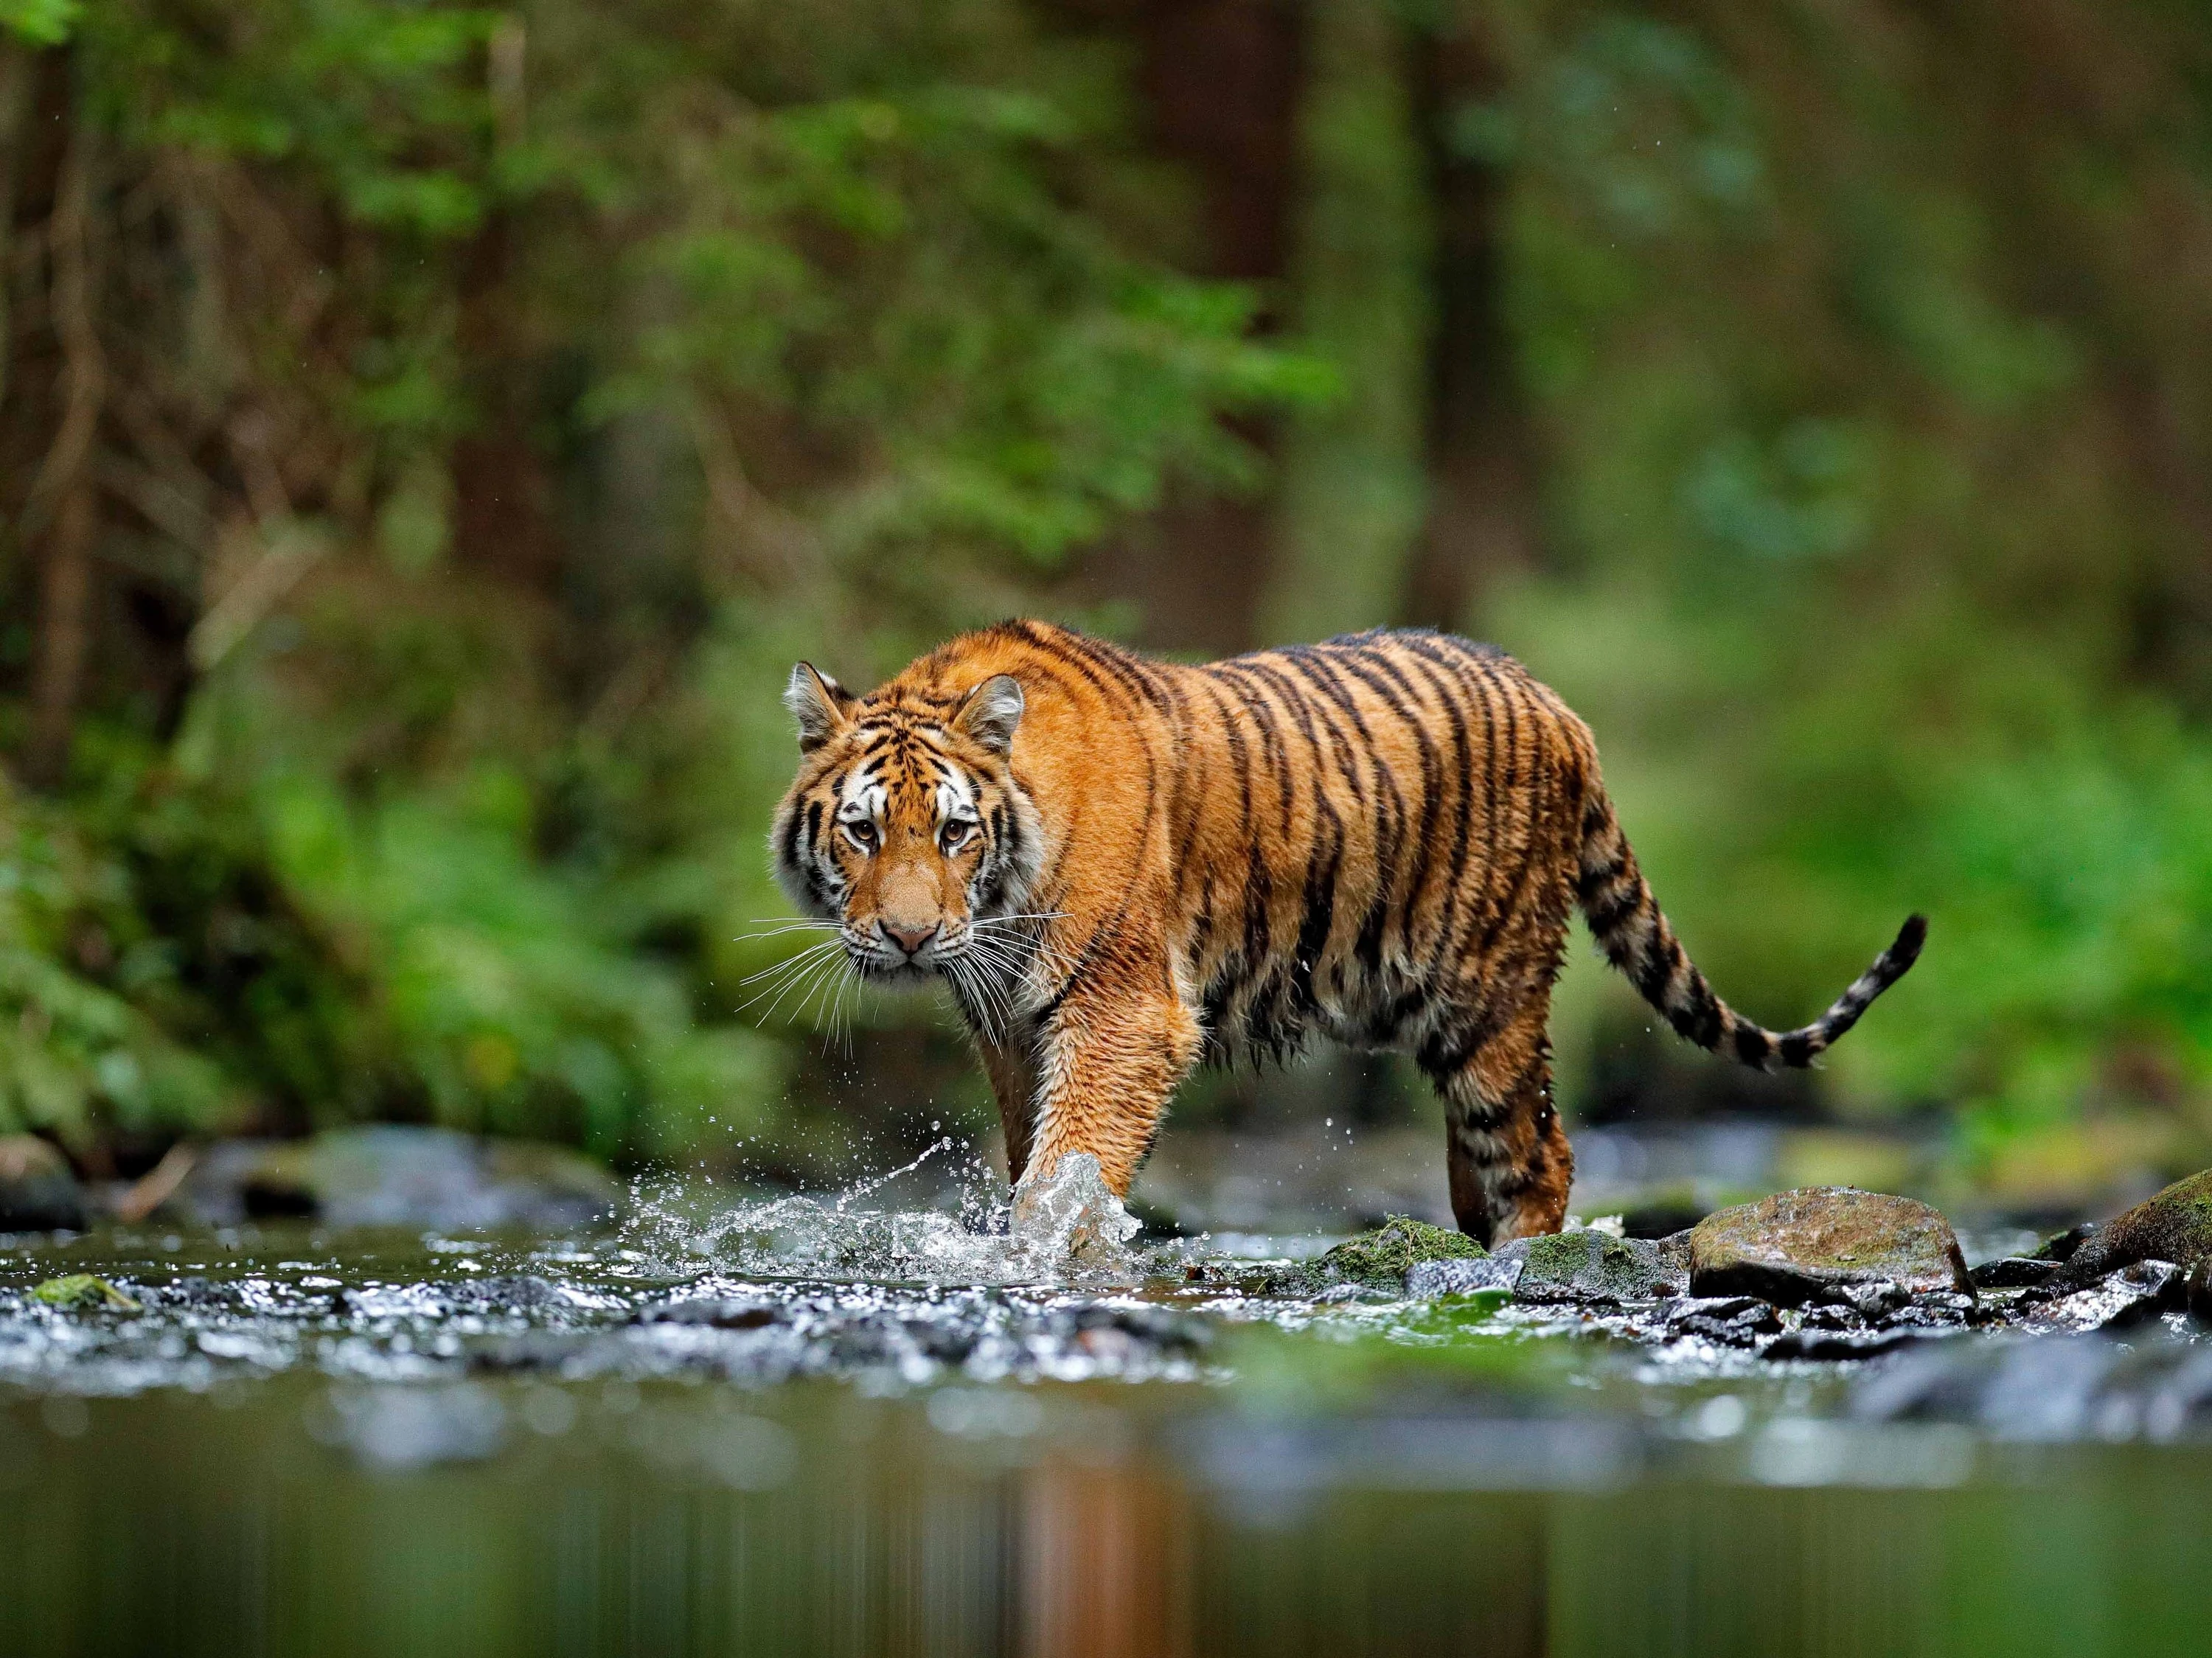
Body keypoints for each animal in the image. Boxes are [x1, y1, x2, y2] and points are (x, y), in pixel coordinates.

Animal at [770, 619, 1925, 1244]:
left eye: (954, 831)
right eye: (864, 831)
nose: (910, 939)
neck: (1002, 902)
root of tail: (1559, 705)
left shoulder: (1121, 1012)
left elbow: (1070, 1165)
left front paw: (1049, 1253)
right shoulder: (1012, 1026)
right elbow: (1033, 1156)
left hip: (1489, 995)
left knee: (1540, 1150)